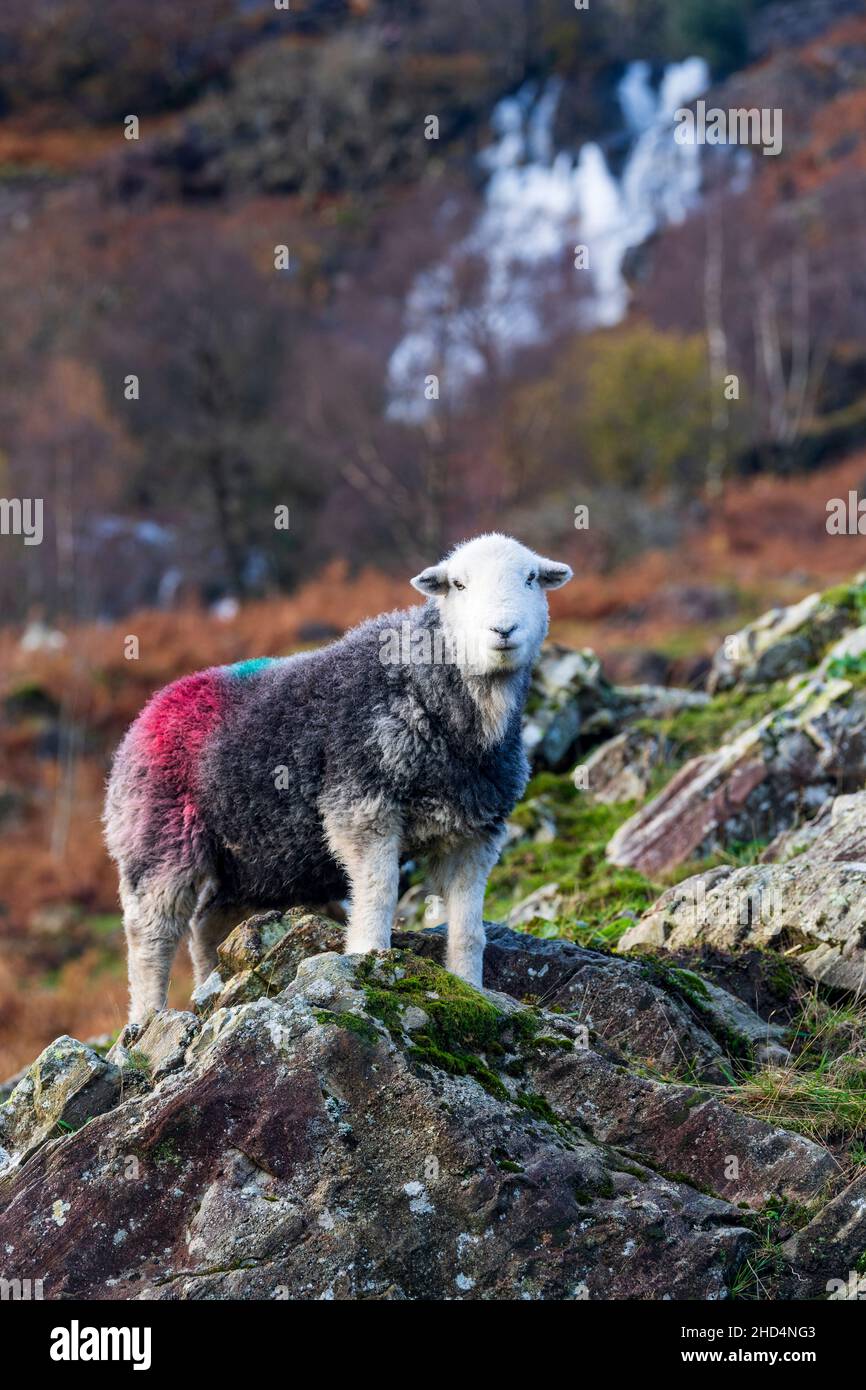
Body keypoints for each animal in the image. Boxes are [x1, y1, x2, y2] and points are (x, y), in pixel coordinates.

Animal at [103, 530, 575, 1023]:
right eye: (459, 585)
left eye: (530, 578)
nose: (503, 630)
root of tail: (156, 703)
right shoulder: (363, 808)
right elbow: (379, 893)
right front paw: (369, 960)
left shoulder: (475, 832)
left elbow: (469, 928)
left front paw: (471, 988)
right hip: (157, 841)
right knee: (151, 938)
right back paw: (147, 1019)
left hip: (255, 859)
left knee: (208, 922)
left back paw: (211, 987)